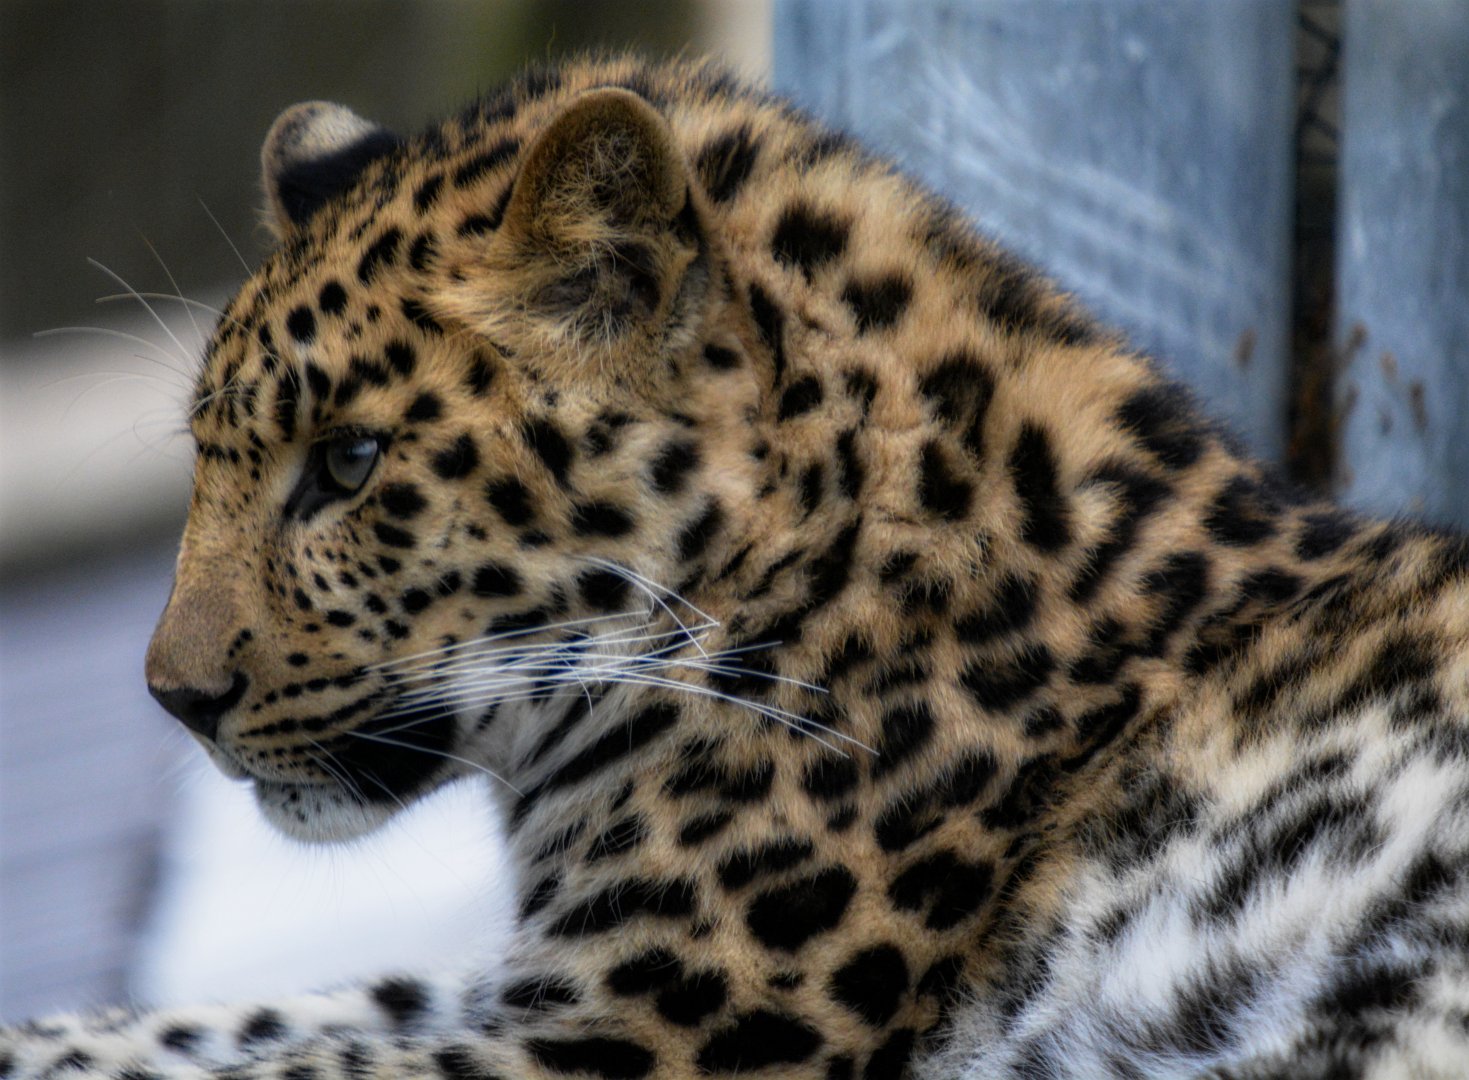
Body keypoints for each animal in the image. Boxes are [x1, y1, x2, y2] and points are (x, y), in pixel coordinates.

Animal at [5, 52, 1469, 1080]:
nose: (173, 699)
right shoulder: (532, 984)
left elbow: (284, 1056)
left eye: (351, 463)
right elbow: (227, 1023)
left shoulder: (633, 1038)